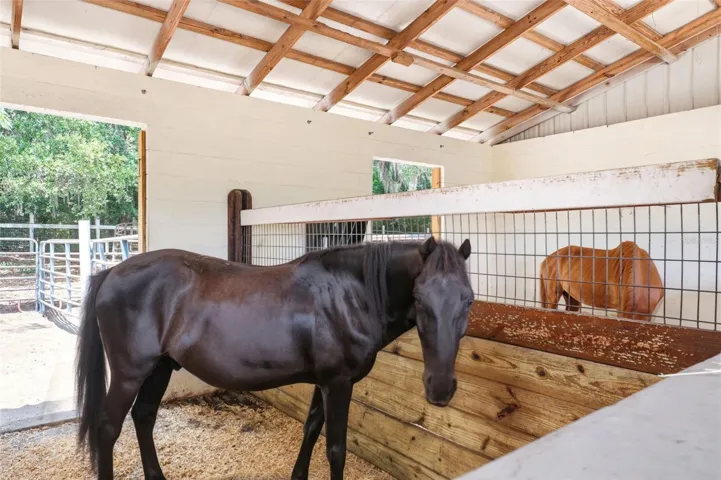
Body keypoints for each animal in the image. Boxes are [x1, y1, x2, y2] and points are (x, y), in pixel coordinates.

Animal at [75, 236, 474, 480]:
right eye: (419, 298)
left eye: (468, 300)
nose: (440, 388)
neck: (350, 295)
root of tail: (111, 272)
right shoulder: (338, 384)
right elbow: (336, 449)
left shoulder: (324, 383)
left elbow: (311, 429)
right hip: (130, 373)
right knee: (108, 427)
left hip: (160, 367)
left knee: (144, 417)